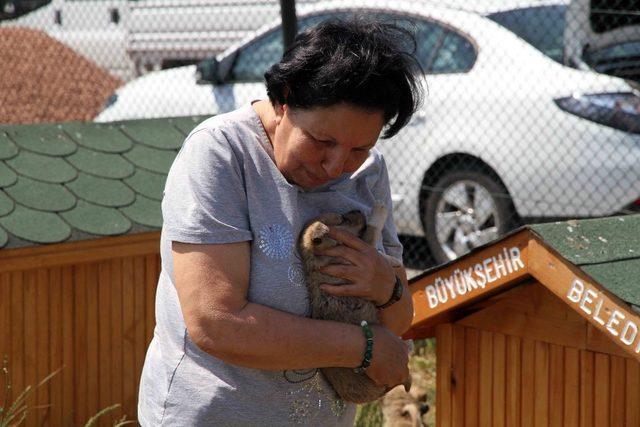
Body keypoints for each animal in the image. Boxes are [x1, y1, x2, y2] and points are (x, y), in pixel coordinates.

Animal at [298, 204, 410, 404]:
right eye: (343, 219)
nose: (358, 210)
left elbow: (378, 253)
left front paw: (393, 262)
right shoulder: (359, 251)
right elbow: (372, 232)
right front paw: (380, 209)